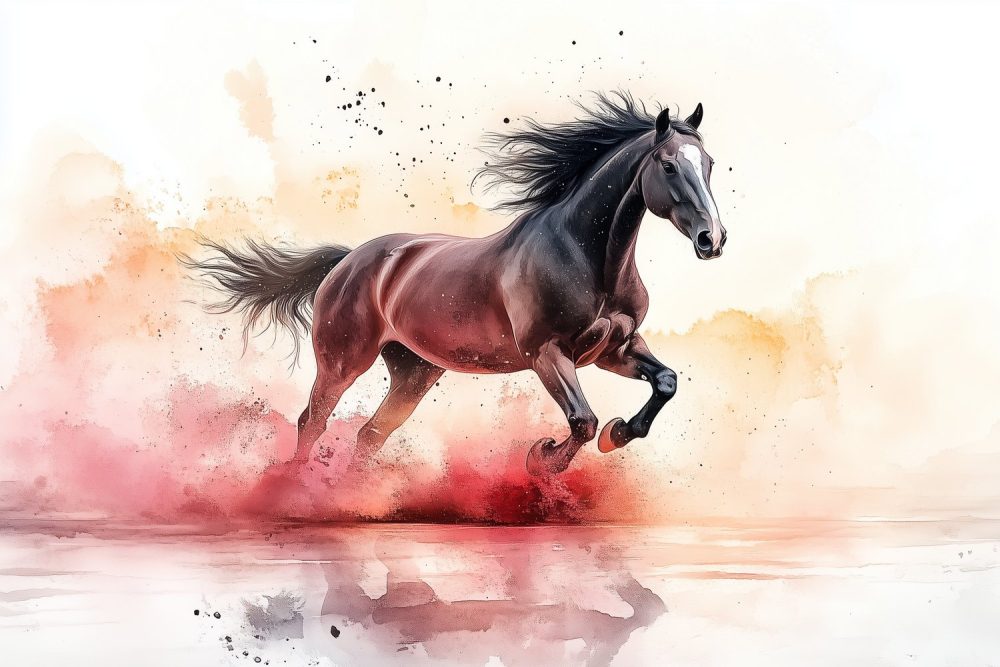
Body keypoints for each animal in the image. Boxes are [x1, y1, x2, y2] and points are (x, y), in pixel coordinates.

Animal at [182, 92, 726, 475]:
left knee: (369, 436)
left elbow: (665, 382)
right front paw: (543, 458)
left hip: (414, 372)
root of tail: (347, 261)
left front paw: (620, 433)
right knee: (312, 421)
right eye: (669, 165)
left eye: (710, 165)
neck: (588, 258)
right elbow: (582, 421)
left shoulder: (615, 348)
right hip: (342, 362)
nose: (712, 239)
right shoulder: (547, 353)